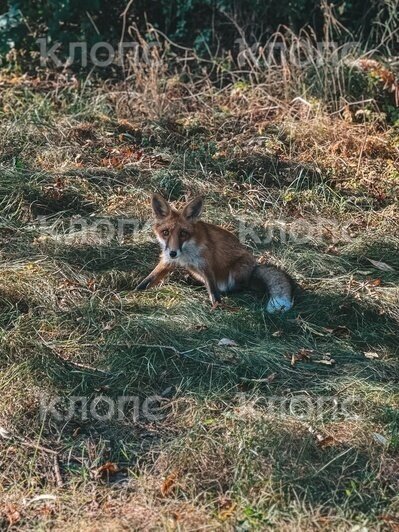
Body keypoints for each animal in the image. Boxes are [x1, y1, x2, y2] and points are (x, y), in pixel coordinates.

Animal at [136, 194, 296, 312]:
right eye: (165, 233)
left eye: (183, 233)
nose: (173, 253)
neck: (185, 253)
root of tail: (254, 269)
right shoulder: (168, 262)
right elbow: (148, 280)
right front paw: (134, 292)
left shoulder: (206, 263)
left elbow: (213, 291)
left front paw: (217, 306)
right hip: (194, 270)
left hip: (238, 269)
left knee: (236, 287)